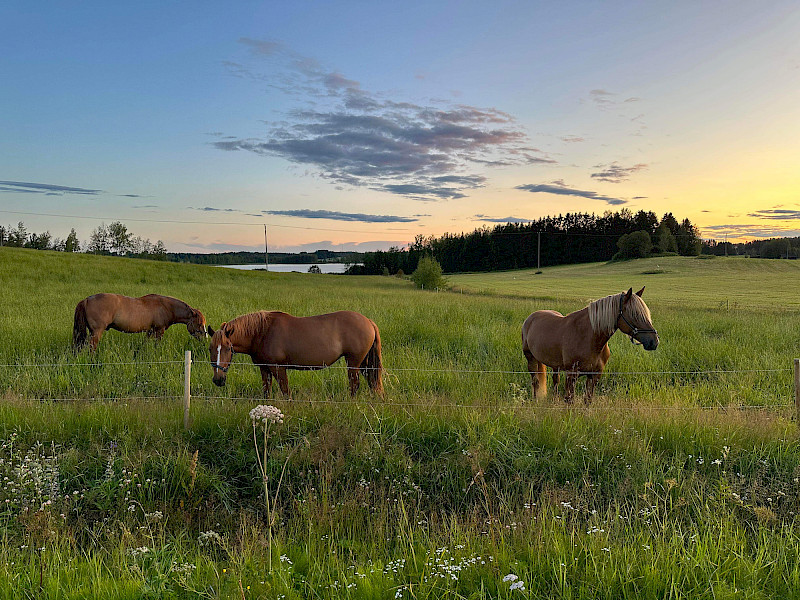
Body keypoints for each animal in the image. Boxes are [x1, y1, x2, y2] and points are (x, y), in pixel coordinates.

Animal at [73, 292, 209, 350]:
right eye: (199, 324)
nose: (205, 339)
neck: (166, 306)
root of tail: (86, 300)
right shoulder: (159, 330)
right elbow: (156, 345)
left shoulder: (150, 331)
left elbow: (145, 344)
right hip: (96, 332)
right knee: (91, 348)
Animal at [209, 310, 384, 398]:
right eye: (211, 348)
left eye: (227, 348)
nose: (218, 380)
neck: (262, 332)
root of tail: (368, 321)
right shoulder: (264, 369)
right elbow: (266, 391)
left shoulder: (278, 368)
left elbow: (285, 391)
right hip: (363, 363)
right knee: (372, 382)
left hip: (353, 362)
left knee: (355, 384)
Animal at [520, 288, 660, 404]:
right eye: (635, 314)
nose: (654, 341)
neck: (588, 338)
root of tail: (531, 317)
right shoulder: (572, 375)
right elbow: (569, 400)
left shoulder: (594, 375)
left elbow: (588, 400)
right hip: (530, 358)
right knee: (535, 381)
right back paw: (535, 400)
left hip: (555, 366)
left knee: (555, 380)